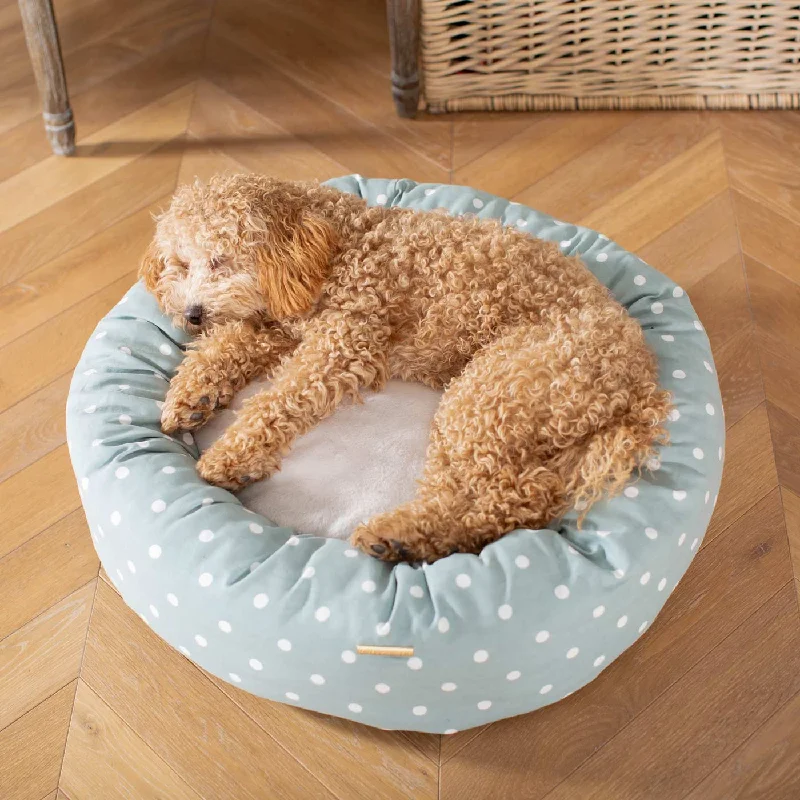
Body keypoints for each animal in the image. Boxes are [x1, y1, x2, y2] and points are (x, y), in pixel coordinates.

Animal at [141, 175, 672, 564]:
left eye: (220, 260)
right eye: (180, 264)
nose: (192, 314)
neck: (333, 246)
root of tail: (639, 381)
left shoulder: (345, 341)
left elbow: (277, 399)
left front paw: (233, 456)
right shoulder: (280, 324)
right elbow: (226, 346)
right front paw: (191, 396)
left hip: (488, 393)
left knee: (513, 498)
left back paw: (398, 535)